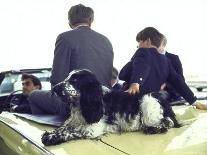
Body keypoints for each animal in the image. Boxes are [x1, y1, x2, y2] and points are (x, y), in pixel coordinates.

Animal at [42, 69, 181, 146]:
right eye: (67, 77)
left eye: (75, 80)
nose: (55, 88)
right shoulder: (73, 121)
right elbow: (64, 127)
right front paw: (53, 133)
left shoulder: (93, 128)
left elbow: (74, 131)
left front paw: (51, 138)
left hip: (148, 100)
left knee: (168, 122)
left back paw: (153, 128)